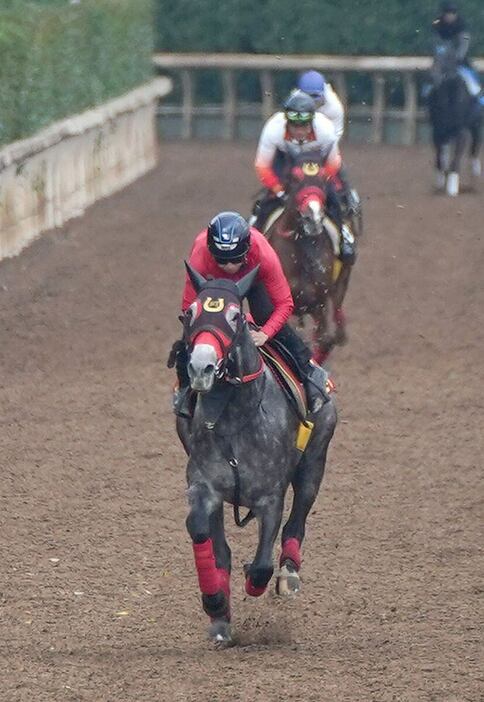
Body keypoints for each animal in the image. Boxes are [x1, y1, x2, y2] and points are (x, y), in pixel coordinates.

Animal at [176, 266, 338, 648]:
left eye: (236, 316)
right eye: (189, 313)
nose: (201, 367)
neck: (236, 418)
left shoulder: (269, 496)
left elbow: (263, 562)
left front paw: (256, 579)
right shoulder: (204, 486)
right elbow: (205, 537)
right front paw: (217, 605)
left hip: (315, 459)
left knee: (298, 517)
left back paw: (289, 573)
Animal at [428, 42, 480, 197]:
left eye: (448, 58)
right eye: (434, 57)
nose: (433, 77)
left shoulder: (460, 131)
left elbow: (456, 156)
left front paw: (451, 187)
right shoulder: (437, 129)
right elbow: (440, 156)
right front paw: (441, 182)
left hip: (476, 126)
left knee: (474, 149)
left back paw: (475, 177)